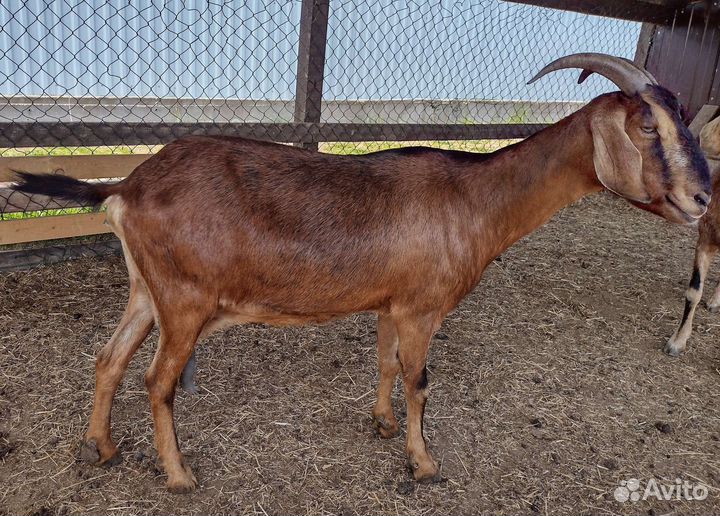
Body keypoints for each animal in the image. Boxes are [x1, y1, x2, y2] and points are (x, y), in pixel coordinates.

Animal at [12, 54, 711, 493]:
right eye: (646, 124)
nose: (703, 198)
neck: (474, 198)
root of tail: (126, 186)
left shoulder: (391, 303)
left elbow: (385, 364)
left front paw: (382, 424)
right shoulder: (423, 307)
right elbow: (420, 381)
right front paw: (423, 463)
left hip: (145, 288)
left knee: (109, 359)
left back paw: (100, 449)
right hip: (185, 300)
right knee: (157, 380)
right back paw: (181, 477)